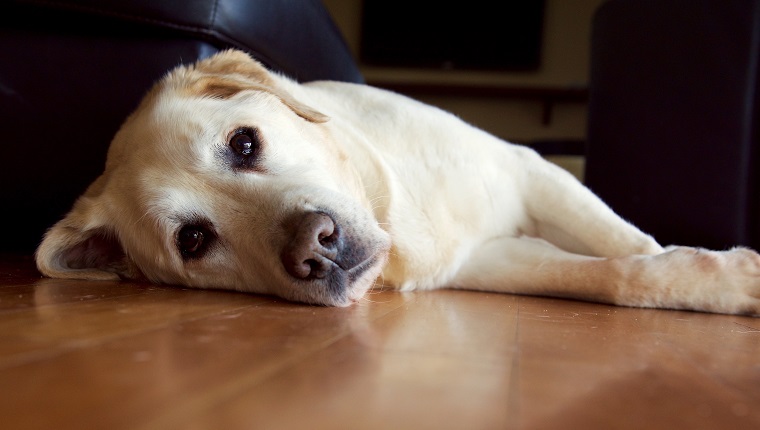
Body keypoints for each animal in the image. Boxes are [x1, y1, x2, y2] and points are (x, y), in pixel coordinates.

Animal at [35, 50, 760, 314]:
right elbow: (618, 274)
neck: (398, 209)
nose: (316, 246)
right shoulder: (491, 260)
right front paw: (723, 280)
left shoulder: (530, 169)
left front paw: (714, 268)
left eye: (244, 143)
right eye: (191, 240)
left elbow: (630, 246)